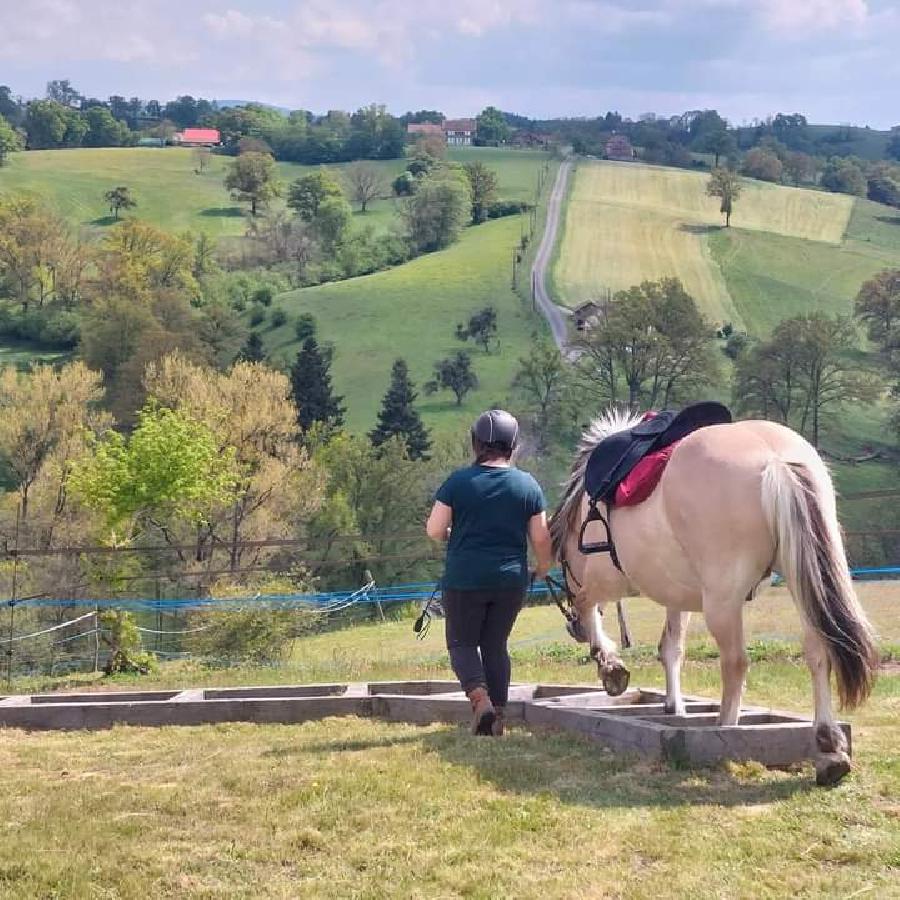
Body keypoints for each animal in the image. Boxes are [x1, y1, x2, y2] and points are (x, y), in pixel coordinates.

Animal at [548, 408, 880, 780]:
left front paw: (611, 667)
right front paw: (673, 705)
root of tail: (775, 459)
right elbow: (671, 648)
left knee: (736, 662)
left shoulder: (607, 581)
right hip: (801, 579)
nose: (573, 629)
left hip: (723, 602)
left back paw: (725, 728)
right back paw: (828, 744)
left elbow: (589, 607)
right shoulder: (677, 597)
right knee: (818, 650)